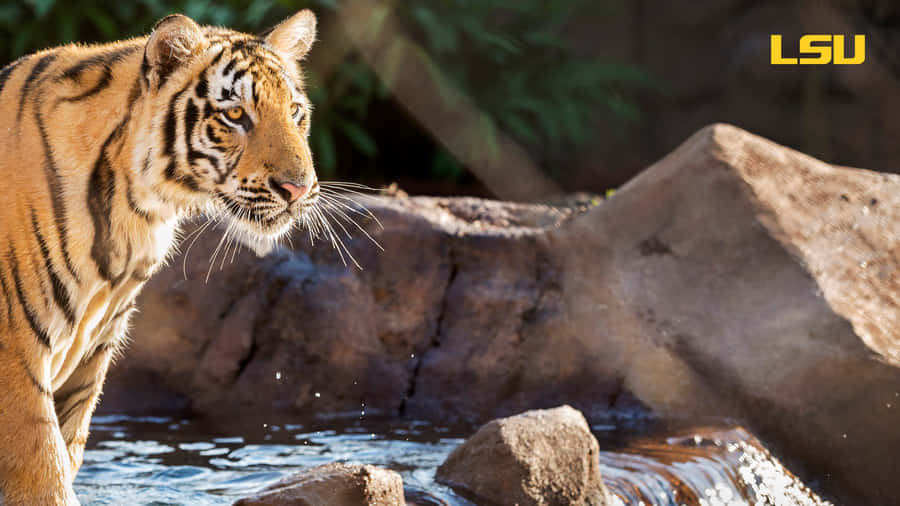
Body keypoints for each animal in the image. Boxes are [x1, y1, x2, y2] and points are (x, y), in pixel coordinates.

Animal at [0, 10, 320, 504]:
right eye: (235, 114)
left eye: (295, 112)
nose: (298, 189)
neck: (134, 211)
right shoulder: (16, 357)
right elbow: (43, 474)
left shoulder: (89, 358)